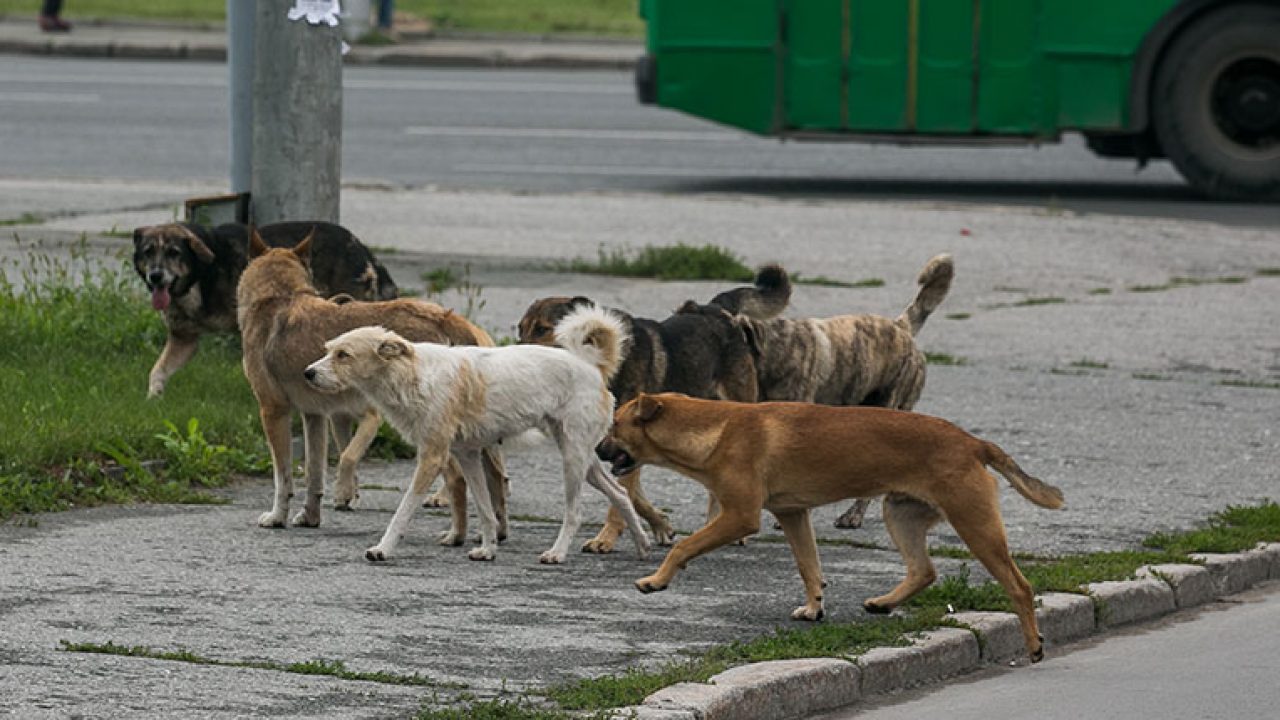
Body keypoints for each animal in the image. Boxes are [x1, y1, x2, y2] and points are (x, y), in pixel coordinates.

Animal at [133, 220, 396, 394]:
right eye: (148, 252)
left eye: (173, 252)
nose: (155, 276)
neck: (202, 274)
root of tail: (362, 248)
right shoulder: (183, 339)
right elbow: (157, 372)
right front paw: (153, 400)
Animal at [239, 226, 504, 535]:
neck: (277, 297)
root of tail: (443, 316)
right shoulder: (315, 416)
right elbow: (315, 475)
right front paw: (310, 517)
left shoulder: (273, 411)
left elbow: (282, 478)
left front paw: (276, 517)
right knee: (496, 478)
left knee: (457, 479)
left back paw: (455, 535)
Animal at [304, 304, 650, 563]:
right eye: (329, 350)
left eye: (344, 355)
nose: (307, 373)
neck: (412, 374)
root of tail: (590, 366)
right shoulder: (467, 455)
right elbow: (485, 510)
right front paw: (487, 549)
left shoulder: (432, 458)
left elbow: (403, 511)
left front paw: (383, 548)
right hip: (582, 459)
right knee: (620, 494)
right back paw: (643, 543)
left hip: (572, 460)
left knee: (575, 513)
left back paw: (557, 552)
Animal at [604, 392, 1064, 661]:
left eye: (614, 425)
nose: (597, 448)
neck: (714, 430)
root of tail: (974, 443)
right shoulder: (793, 514)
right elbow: (809, 567)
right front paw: (814, 608)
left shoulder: (739, 516)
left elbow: (683, 547)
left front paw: (656, 580)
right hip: (901, 514)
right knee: (924, 570)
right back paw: (884, 602)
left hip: (975, 524)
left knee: (1019, 587)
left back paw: (1033, 644)